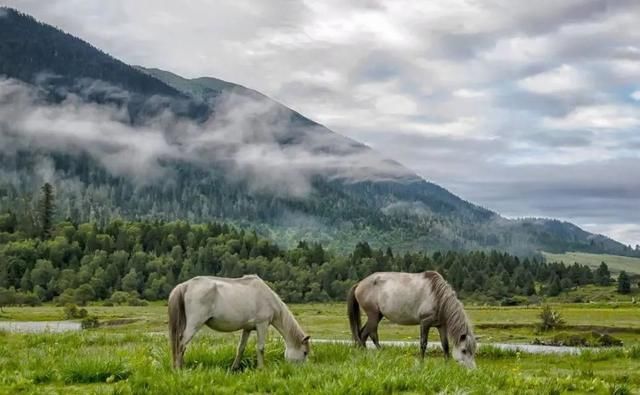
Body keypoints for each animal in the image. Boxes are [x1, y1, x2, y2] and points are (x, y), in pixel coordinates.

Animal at [168, 276, 310, 372]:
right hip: (194, 325)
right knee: (181, 345)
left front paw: (234, 368)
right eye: (305, 353)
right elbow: (261, 348)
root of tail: (186, 285)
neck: (268, 297)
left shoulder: (247, 329)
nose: (302, 370)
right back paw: (179, 369)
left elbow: (241, 348)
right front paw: (261, 369)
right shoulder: (262, 325)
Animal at [348, 270, 478, 370]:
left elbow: (445, 345)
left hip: (377, 316)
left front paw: (447, 365)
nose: (472, 370)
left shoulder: (441, 326)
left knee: (367, 334)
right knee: (365, 334)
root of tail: (359, 284)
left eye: (473, 351)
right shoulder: (425, 323)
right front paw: (421, 363)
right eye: (464, 350)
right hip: (373, 315)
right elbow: (423, 344)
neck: (437, 296)